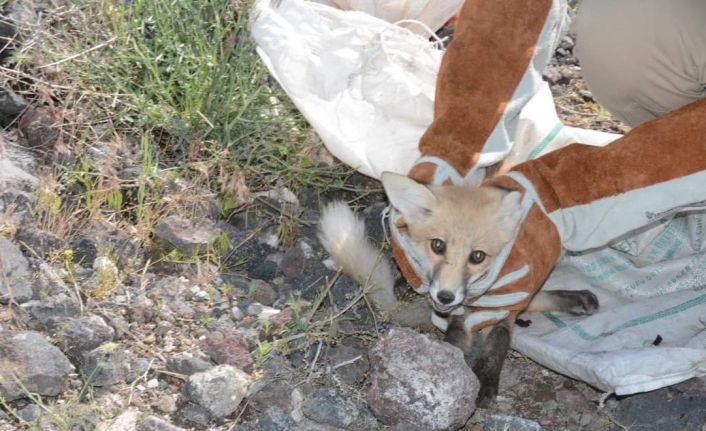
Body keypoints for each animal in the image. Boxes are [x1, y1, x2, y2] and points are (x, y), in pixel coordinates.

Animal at [316, 171, 596, 404]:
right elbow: (453, 344)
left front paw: (485, 384)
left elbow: (496, 348)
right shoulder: (458, 316)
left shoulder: (503, 309)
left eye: (477, 256)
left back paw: (577, 299)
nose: (445, 297)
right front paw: (448, 373)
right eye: (437, 245)